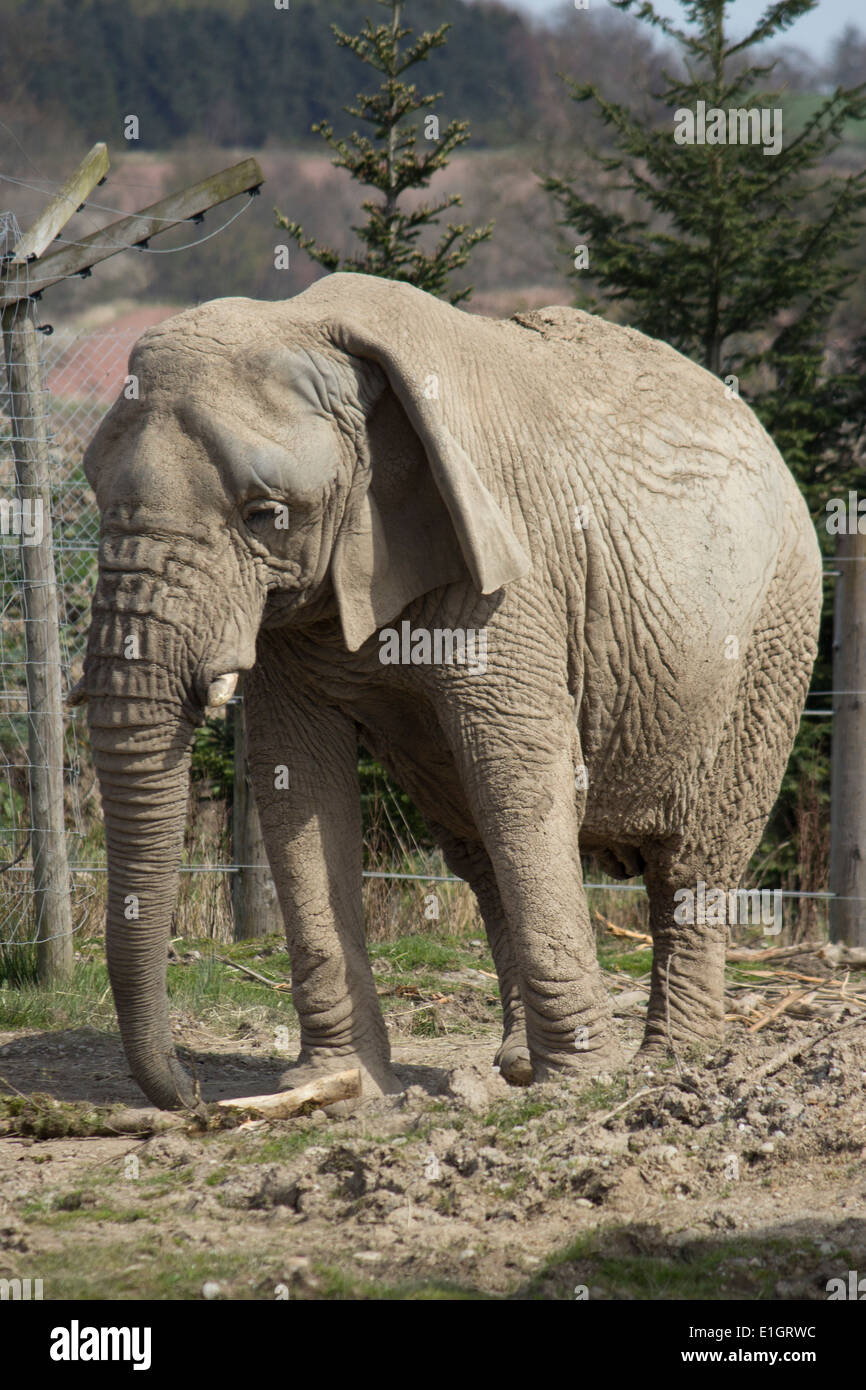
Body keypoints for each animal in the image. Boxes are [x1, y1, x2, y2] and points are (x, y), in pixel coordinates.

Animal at [77, 271, 822, 1112]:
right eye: (92, 491)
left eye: (267, 514)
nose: (193, 1090)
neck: (306, 324)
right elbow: (296, 775)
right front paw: (335, 1085)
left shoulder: (516, 575)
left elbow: (516, 765)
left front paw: (580, 1083)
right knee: (479, 852)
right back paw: (519, 1064)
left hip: (772, 639)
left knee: (695, 860)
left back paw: (669, 1063)